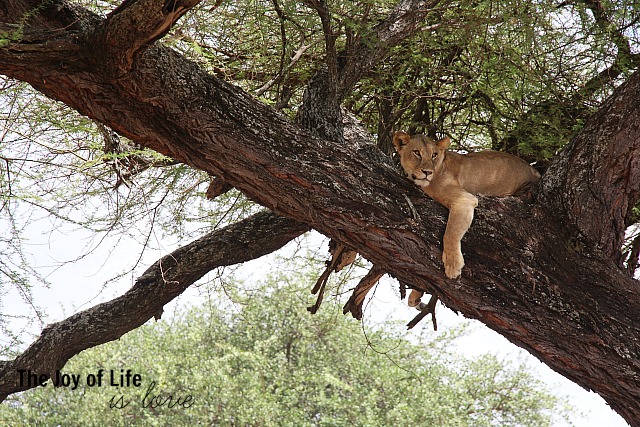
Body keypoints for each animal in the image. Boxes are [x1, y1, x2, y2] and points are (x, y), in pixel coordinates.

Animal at [392, 131, 541, 308]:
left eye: (434, 155)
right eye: (416, 152)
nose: (427, 172)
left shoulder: (464, 199)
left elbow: (450, 233)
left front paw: (452, 265)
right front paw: (416, 294)